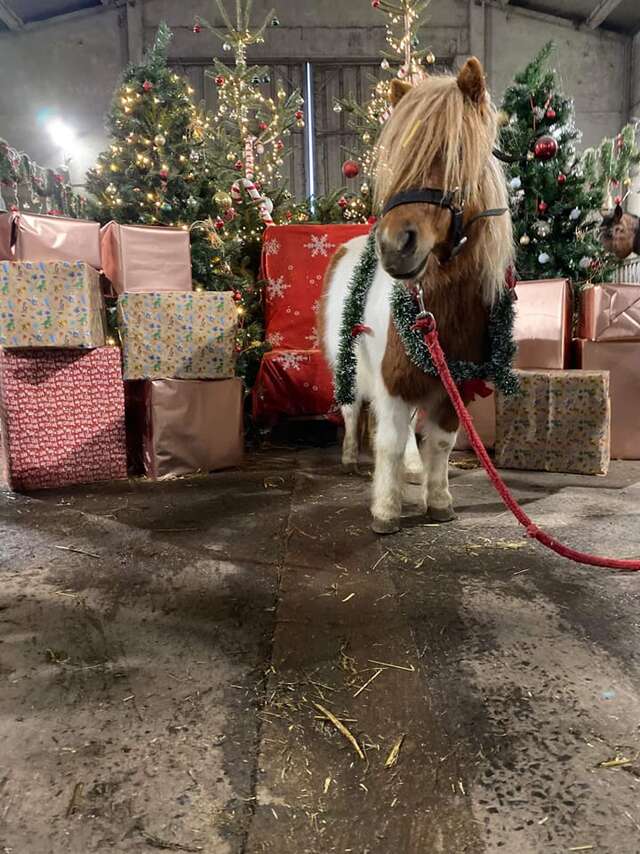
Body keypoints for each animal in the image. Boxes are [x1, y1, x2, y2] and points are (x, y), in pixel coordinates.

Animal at [322, 56, 512, 532]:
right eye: (399, 158)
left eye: (455, 154)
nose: (394, 245)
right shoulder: (391, 381)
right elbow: (387, 441)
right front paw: (385, 512)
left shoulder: (454, 385)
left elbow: (439, 443)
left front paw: (438, 501)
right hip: (348, 365)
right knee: (352, 410)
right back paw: (351, 459)